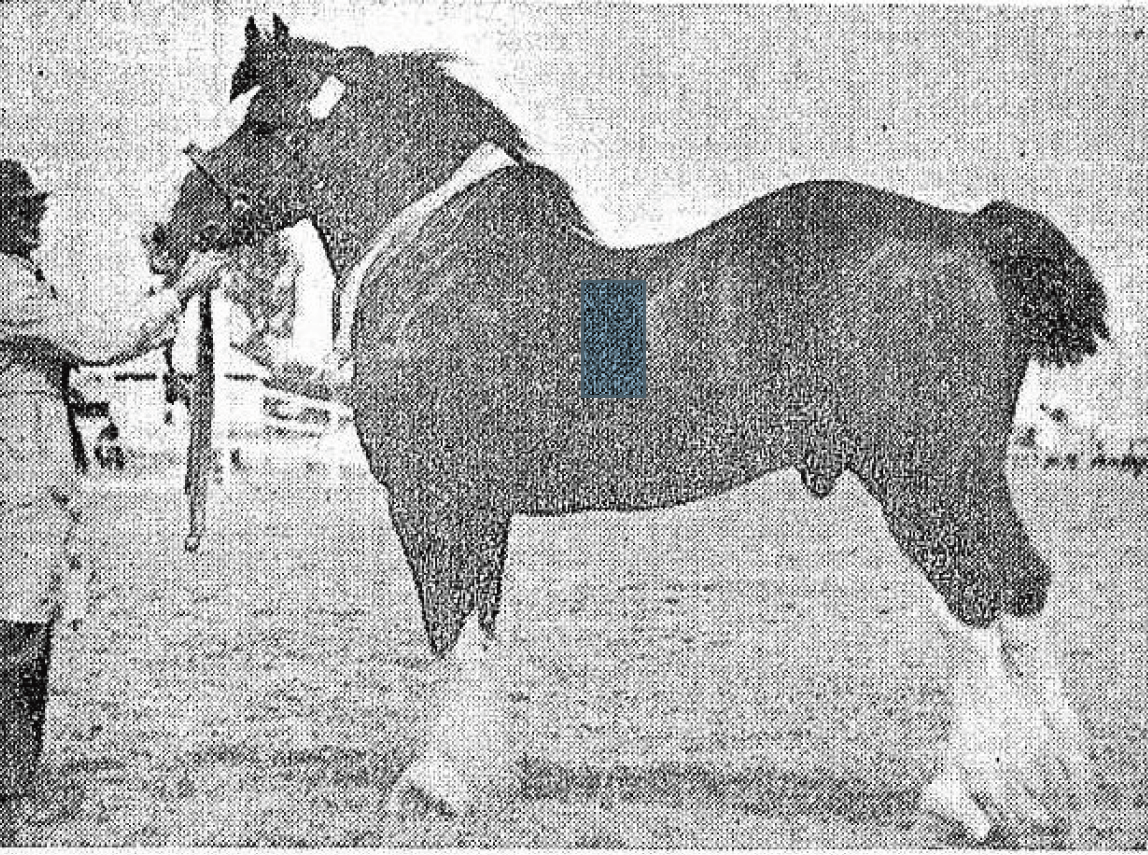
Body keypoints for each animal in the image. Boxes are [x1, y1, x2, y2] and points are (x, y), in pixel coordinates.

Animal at [150, 15, 1106, 846]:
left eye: (261, 122)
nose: (166, 234)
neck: (432, 255)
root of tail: (968, 231)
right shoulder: (483, 509)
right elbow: (484, 623)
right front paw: (488, 775)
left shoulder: (432, 500)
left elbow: (448, 626)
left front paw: (436, 781)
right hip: (953, 480)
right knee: (1017, 595)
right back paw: (1043, 792)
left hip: (927, 480)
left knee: (982, 599)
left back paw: (967, 797)